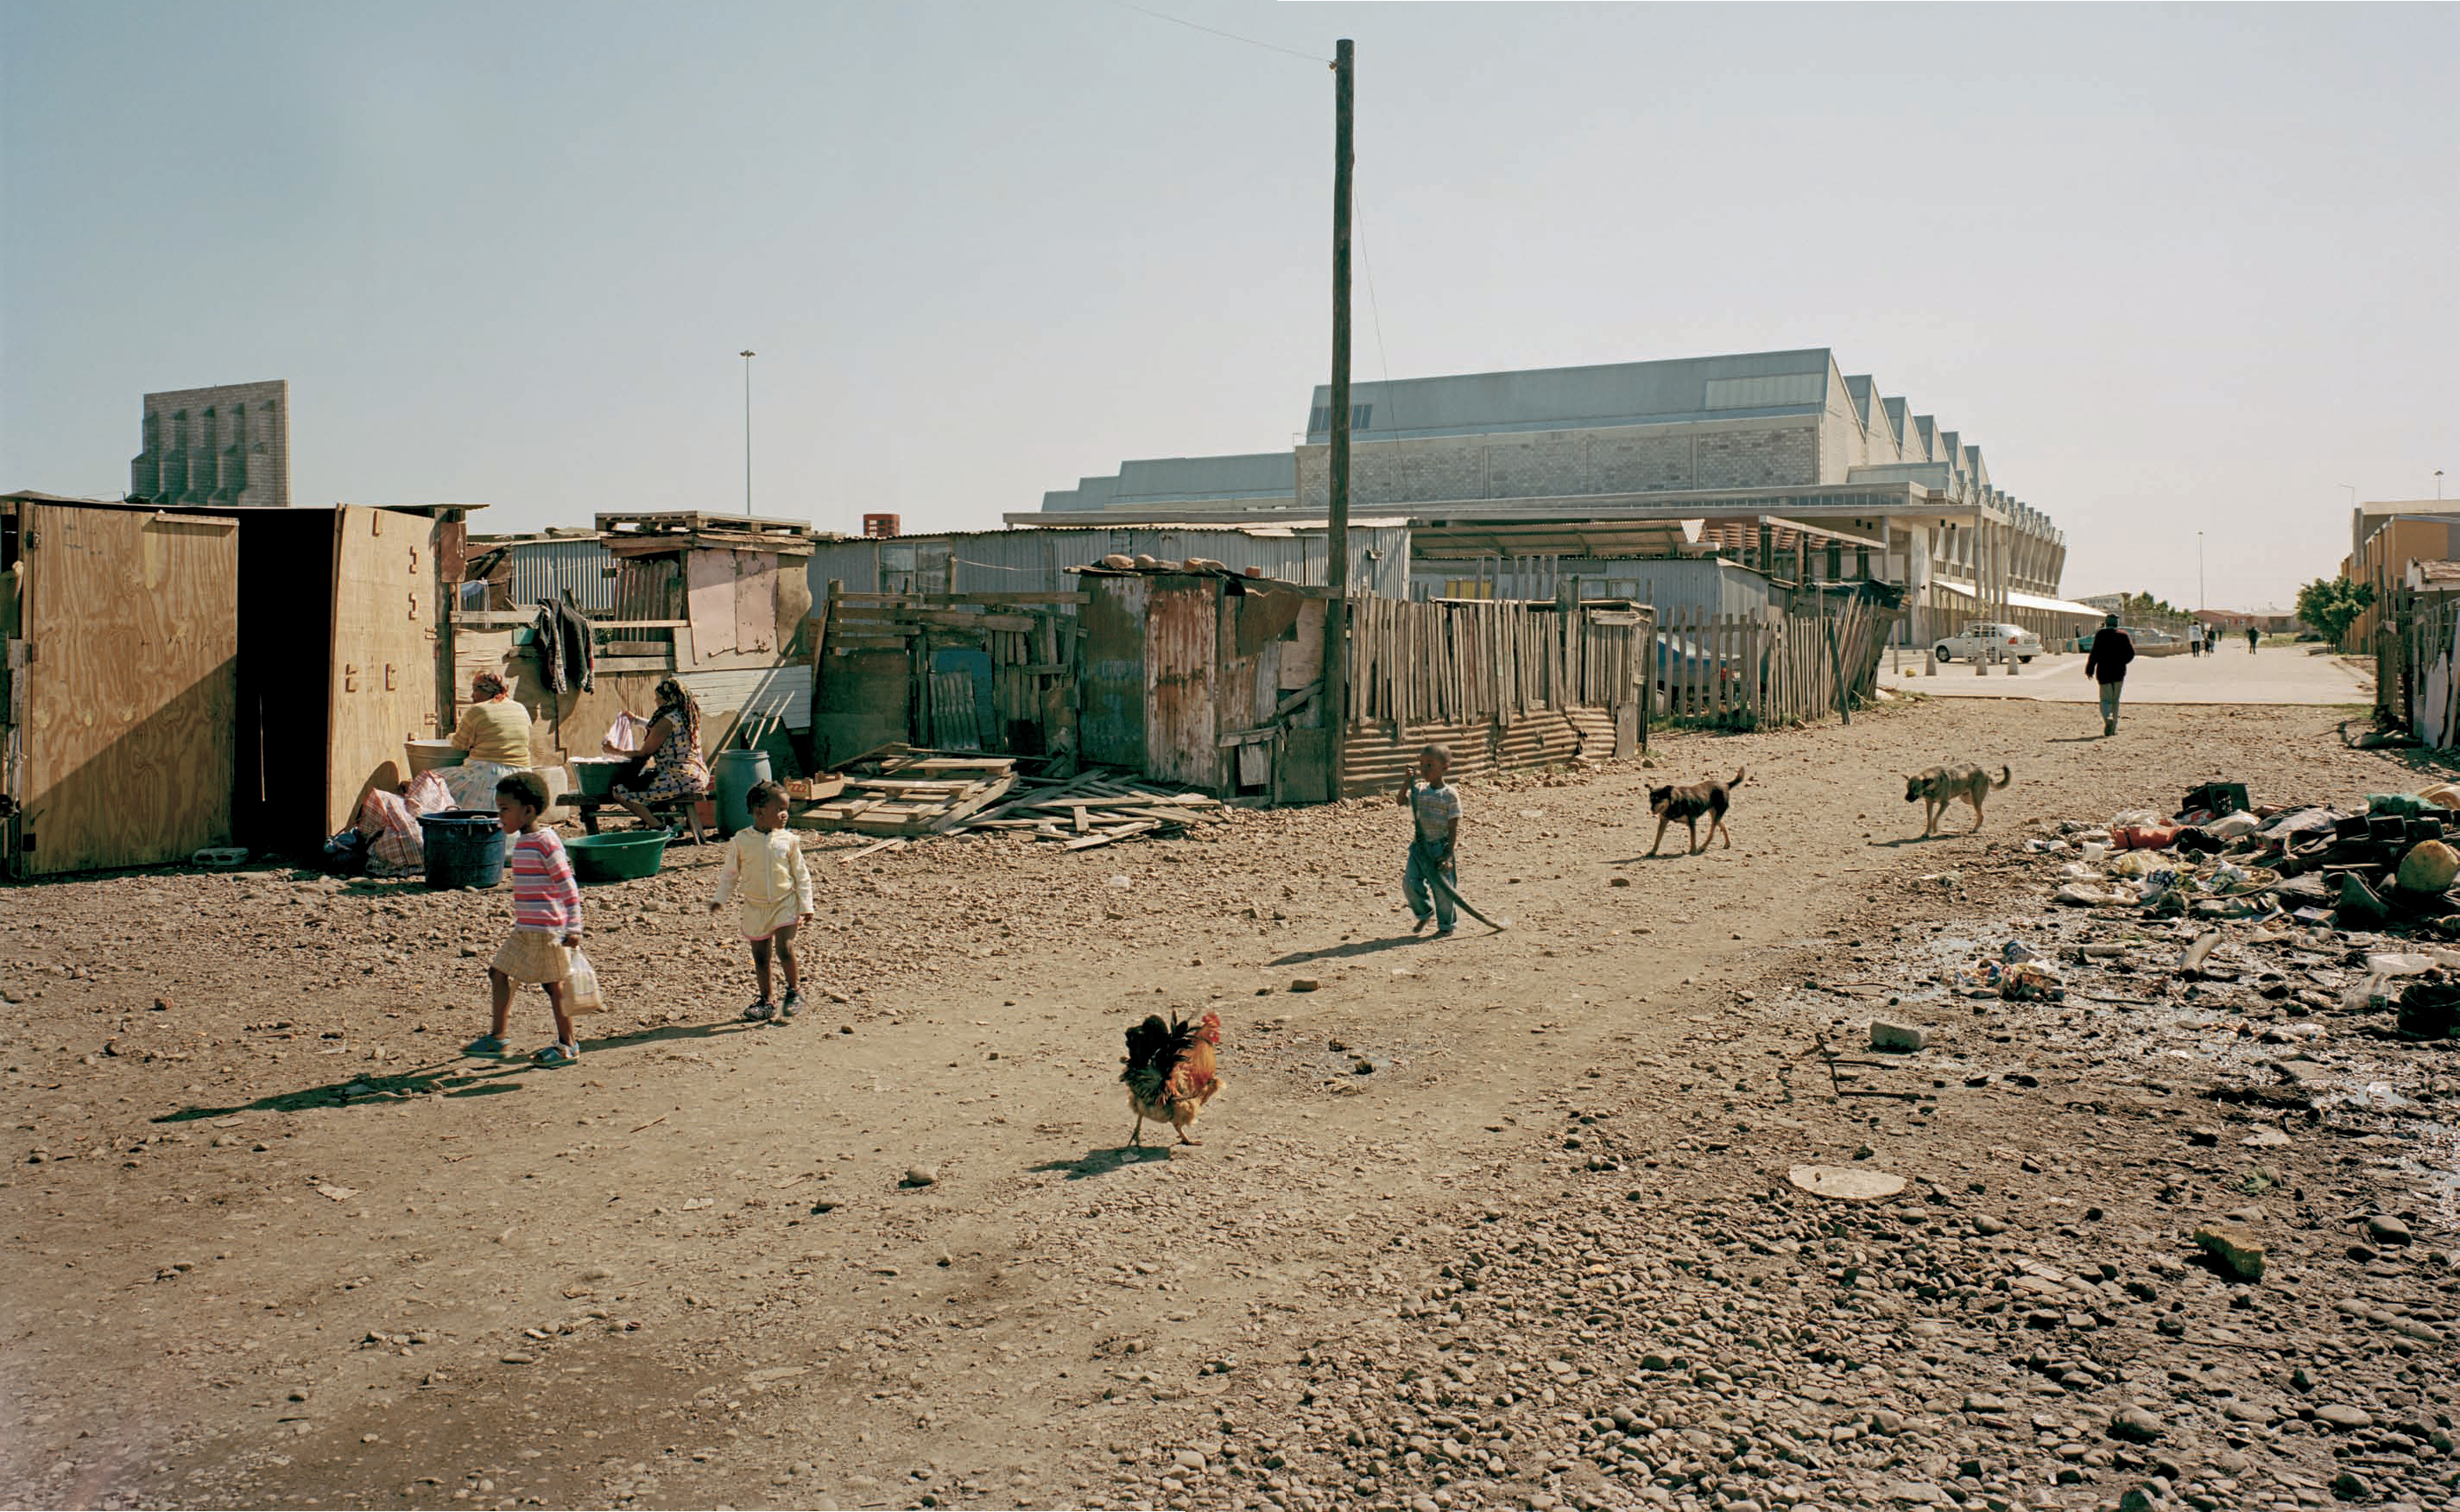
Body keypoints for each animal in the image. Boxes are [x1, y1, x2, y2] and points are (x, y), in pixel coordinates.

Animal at [1899, 762, 2017, 836]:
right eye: (1908, 788)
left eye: (1915, 788)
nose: (1906, 798)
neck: (1932, 786)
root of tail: (1984, 772)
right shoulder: (1929, 804)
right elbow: (1929, 819)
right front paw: (1927, 833)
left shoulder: (1944, 804)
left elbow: (1935, 818)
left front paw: (1935, 830)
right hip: (1966, 799)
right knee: (1980, 812)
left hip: (1975, 800)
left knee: (1981, 814)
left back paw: (1975, 829)